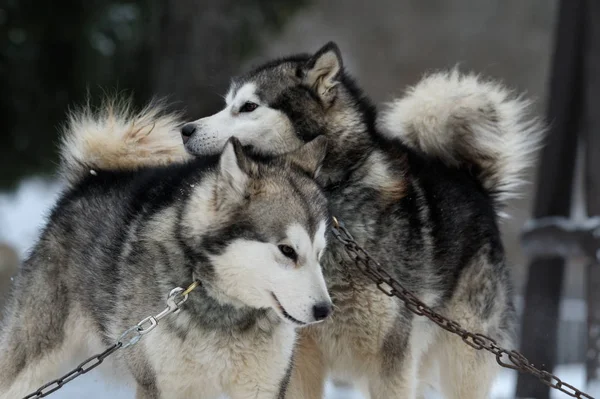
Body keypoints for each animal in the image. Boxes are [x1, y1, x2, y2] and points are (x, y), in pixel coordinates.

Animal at [0, 102, 332, 399]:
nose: (324, 311)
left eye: (320, 252)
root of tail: (91, 178)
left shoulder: (264, 386)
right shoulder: (161, 385)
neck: (225, 308)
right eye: (287, 250)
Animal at [175, 43, 544, 399]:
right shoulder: (302, 355)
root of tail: (472, 180)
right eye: (227, 104)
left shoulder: (391, 358)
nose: (185, 130)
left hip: (463, 356)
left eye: (248, 106)